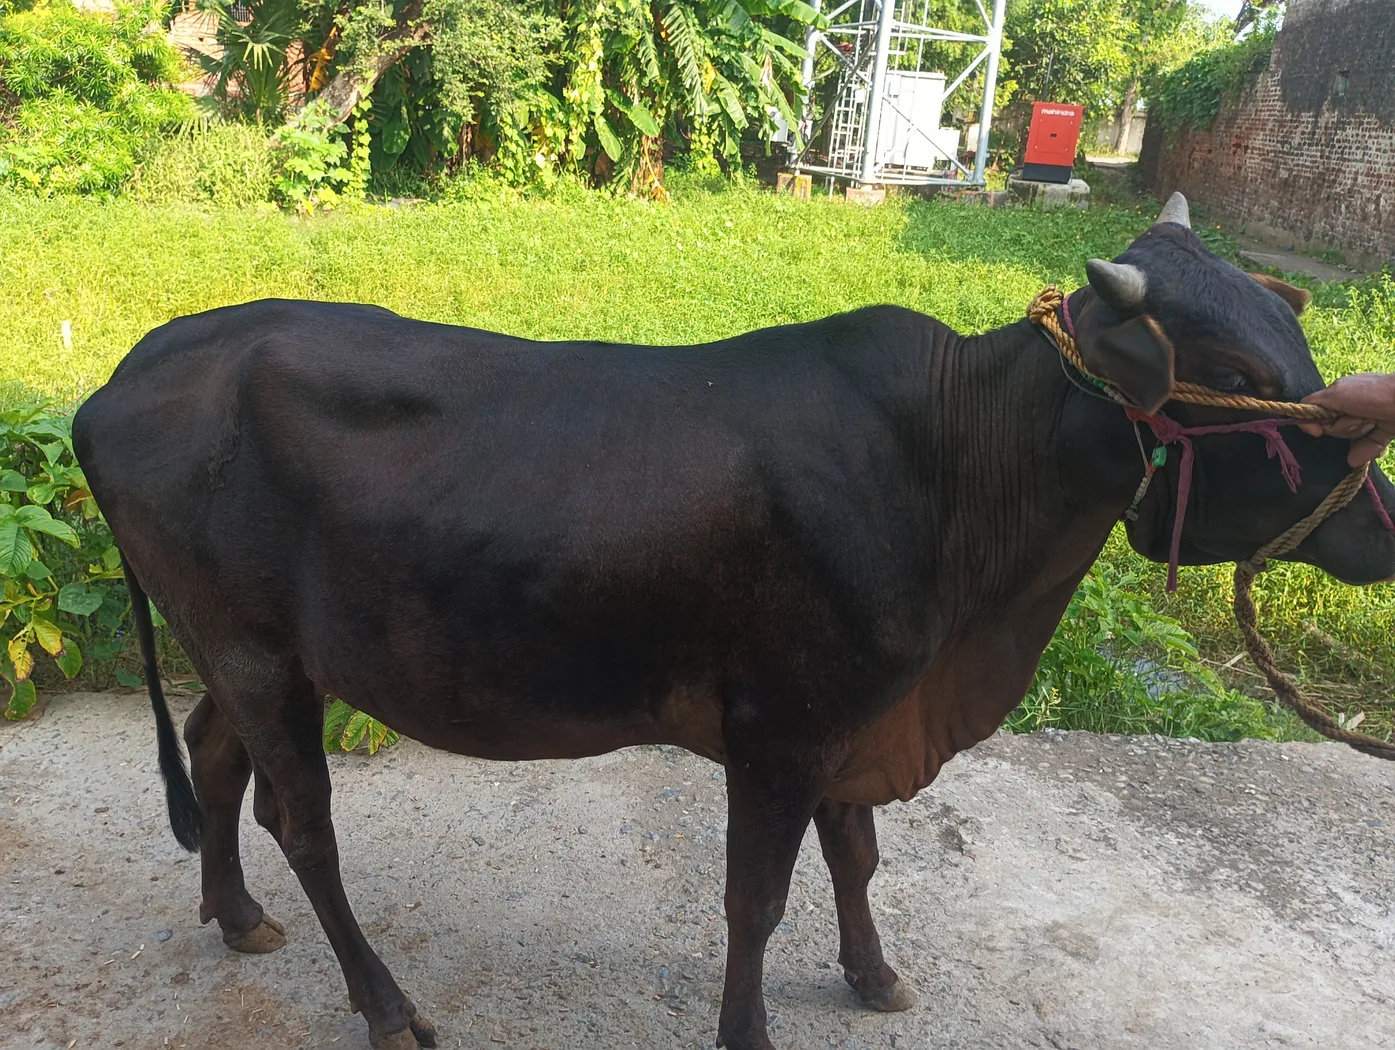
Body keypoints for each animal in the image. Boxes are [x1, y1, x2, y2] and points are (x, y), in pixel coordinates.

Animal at [71, 193, 1395, 1050]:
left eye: (1296, 343)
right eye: (1245, 379)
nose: (1378, 522)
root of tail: (127, 373)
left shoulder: (859, 716)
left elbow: (856, 857)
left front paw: (873, 975)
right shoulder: (783, 724)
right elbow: (755, 897)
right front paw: (751, 1029)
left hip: (242, 650)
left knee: (215, 760)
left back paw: (238, 917)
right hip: (252, 646)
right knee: (303, 821)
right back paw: (387, 1007)